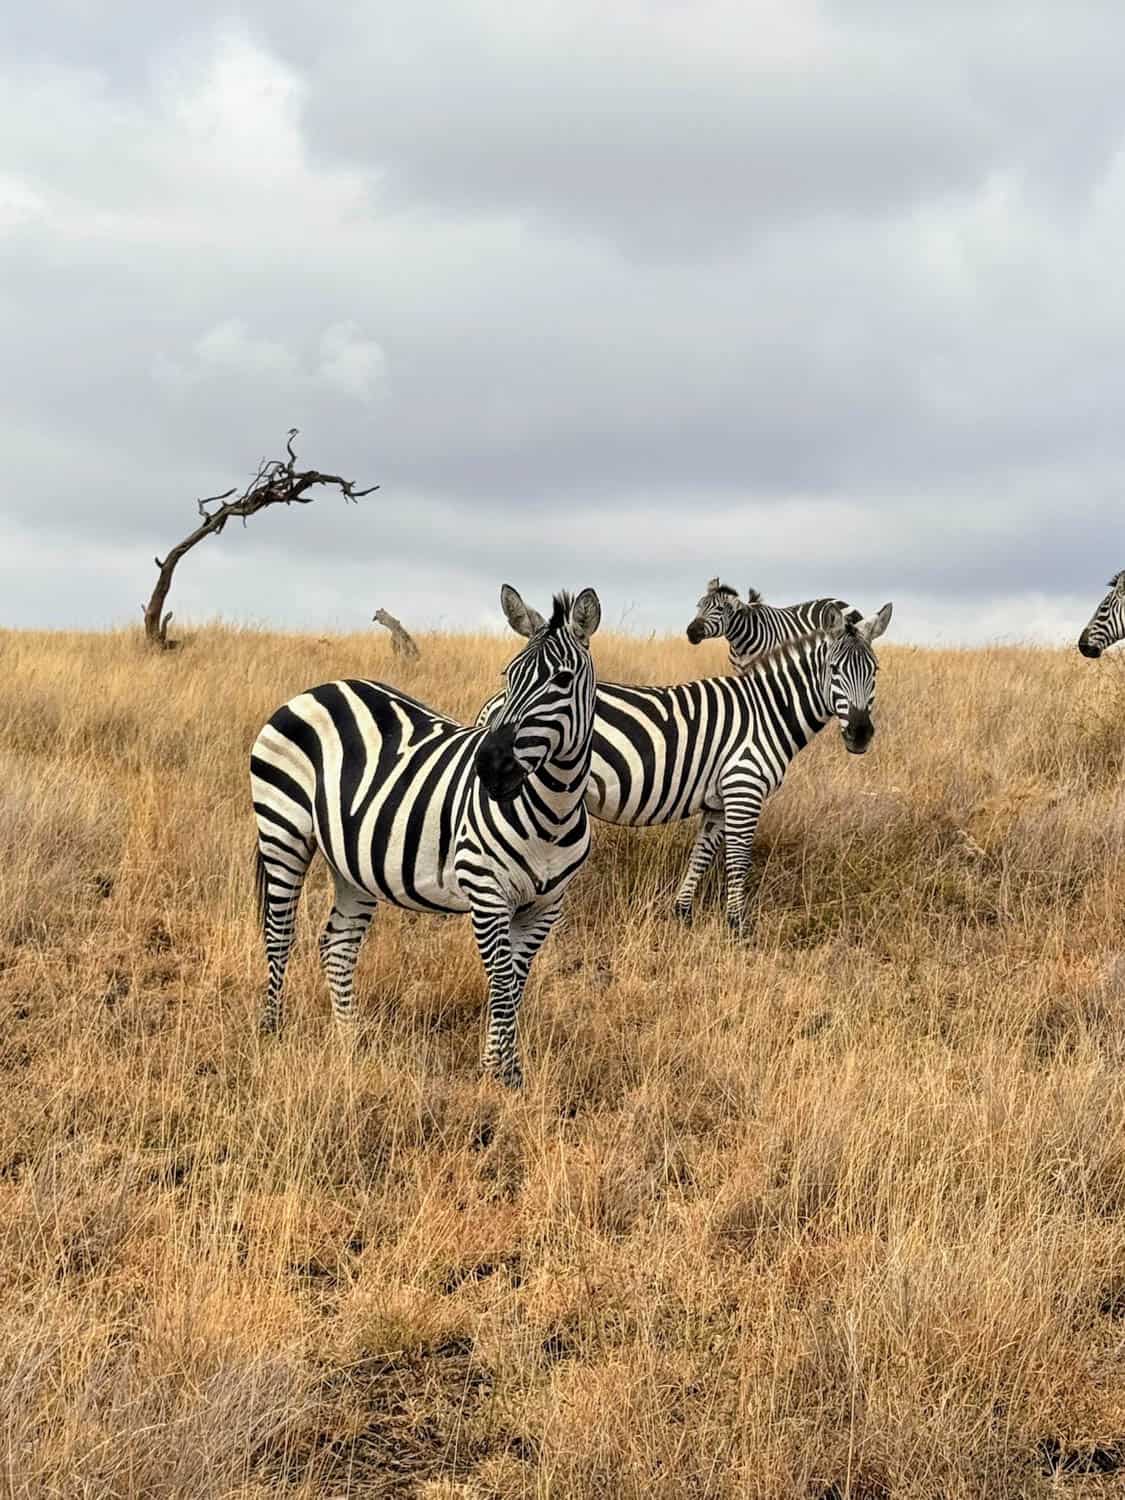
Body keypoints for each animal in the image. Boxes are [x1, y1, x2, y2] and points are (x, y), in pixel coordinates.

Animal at [250, 584, 601, 1088]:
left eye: (563, 680)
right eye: (507, 676)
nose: (490, 765)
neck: (551, 810)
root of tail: (318, 688)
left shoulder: (546, 905)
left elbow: (516, 982)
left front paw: (503, 1069)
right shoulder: (486, 889)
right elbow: (500, 980)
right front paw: (500, 1075)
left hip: (352, 859)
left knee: (337, 945)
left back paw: (350, 1042)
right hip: (282, 828)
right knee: (279, 933)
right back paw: (272, 1031)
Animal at [481, 602, 892, 932]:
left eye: (874, 670)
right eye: (834, 669)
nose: (860, 734)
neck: (767, 710)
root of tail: (496, 703)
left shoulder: (719, 800)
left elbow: (702, 855)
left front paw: (682, 913)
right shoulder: (744, 788)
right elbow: (738, 861)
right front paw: (738, 928)